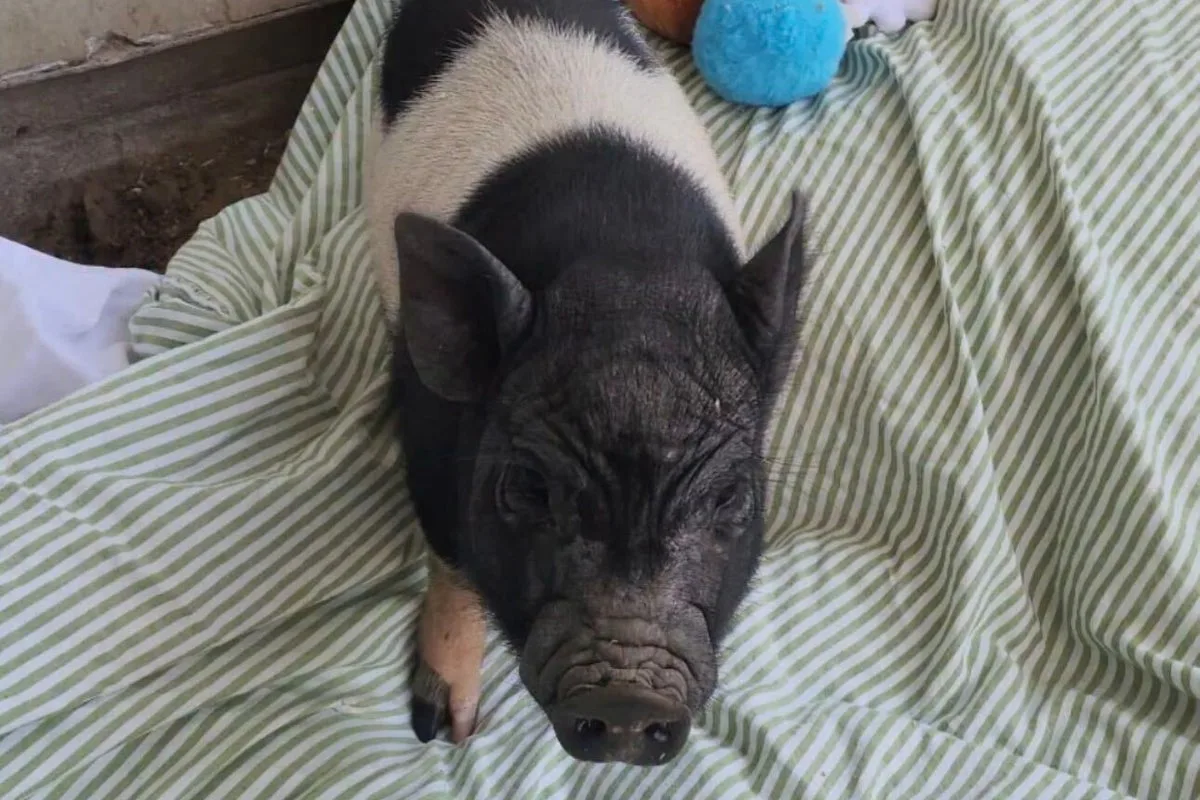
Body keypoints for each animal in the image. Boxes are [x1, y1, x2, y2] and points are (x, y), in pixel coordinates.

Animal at [366, 0, 810, 767]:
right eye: (526, 488)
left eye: (731, 497)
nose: (629, 697)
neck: (624, 264)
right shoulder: (423, 436)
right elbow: (451, 564)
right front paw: (443, 731)